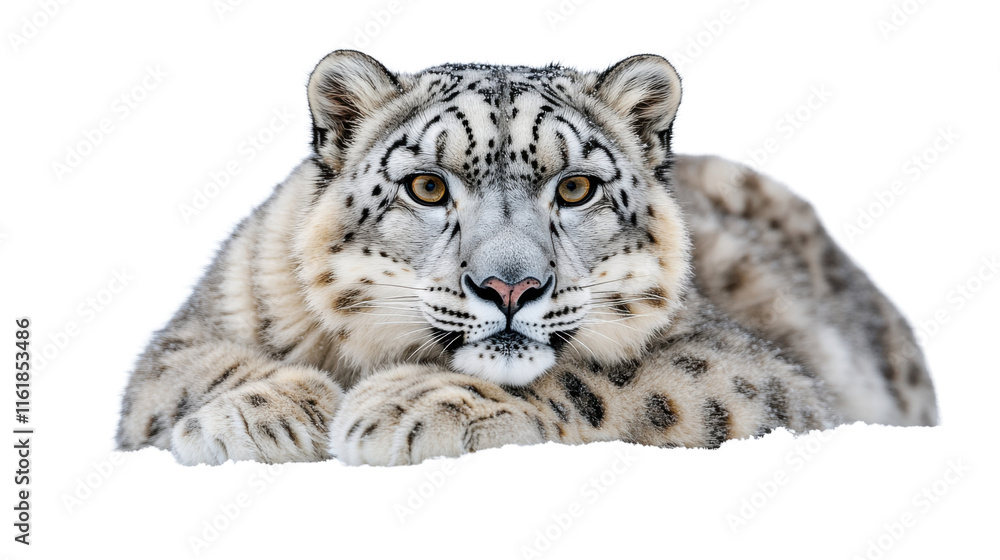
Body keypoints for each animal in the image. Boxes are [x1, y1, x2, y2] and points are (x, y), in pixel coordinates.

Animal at [115, 50, 938, 466]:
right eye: (427, 185)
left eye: (575, 187)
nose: (509, 286)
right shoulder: (192, 329)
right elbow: (185, 371)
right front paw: (270, 410)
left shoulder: (752, 372)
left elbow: (616, 380)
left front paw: (408, 404)